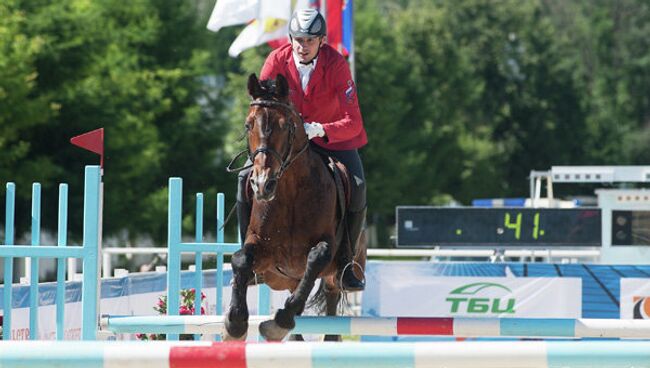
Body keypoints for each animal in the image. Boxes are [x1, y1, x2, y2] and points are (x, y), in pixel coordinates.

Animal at [223, 73, 364, 340]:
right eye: (248, 125)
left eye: (286, 126)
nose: (262, 185)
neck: (289, 192)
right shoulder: (261, 249)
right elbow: (241, 260)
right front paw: (235, 322)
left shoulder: (326, 249)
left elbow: (316, 258)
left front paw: (279, 322)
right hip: (282, 277)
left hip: (336, 273)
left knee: (329, 297)